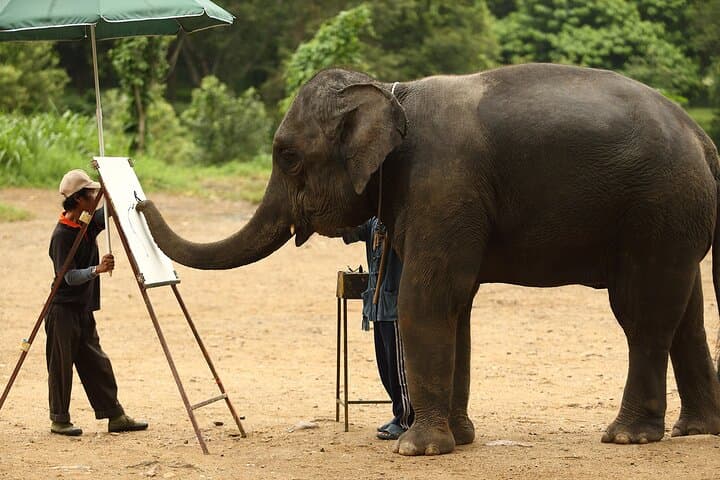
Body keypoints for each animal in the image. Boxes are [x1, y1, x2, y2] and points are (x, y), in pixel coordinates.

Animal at [137, 63, 720, 456]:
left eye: (288, 157)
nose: (138, 200)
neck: (392, 92)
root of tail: (702, 138)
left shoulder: (442, 184)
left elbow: (428, 298)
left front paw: (416, 449)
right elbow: (457, 307)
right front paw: (459, 439)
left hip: (657, 207)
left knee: (643, 316)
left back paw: (627, 437)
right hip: (677, 218)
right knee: (686, 315)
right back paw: (694, 429)